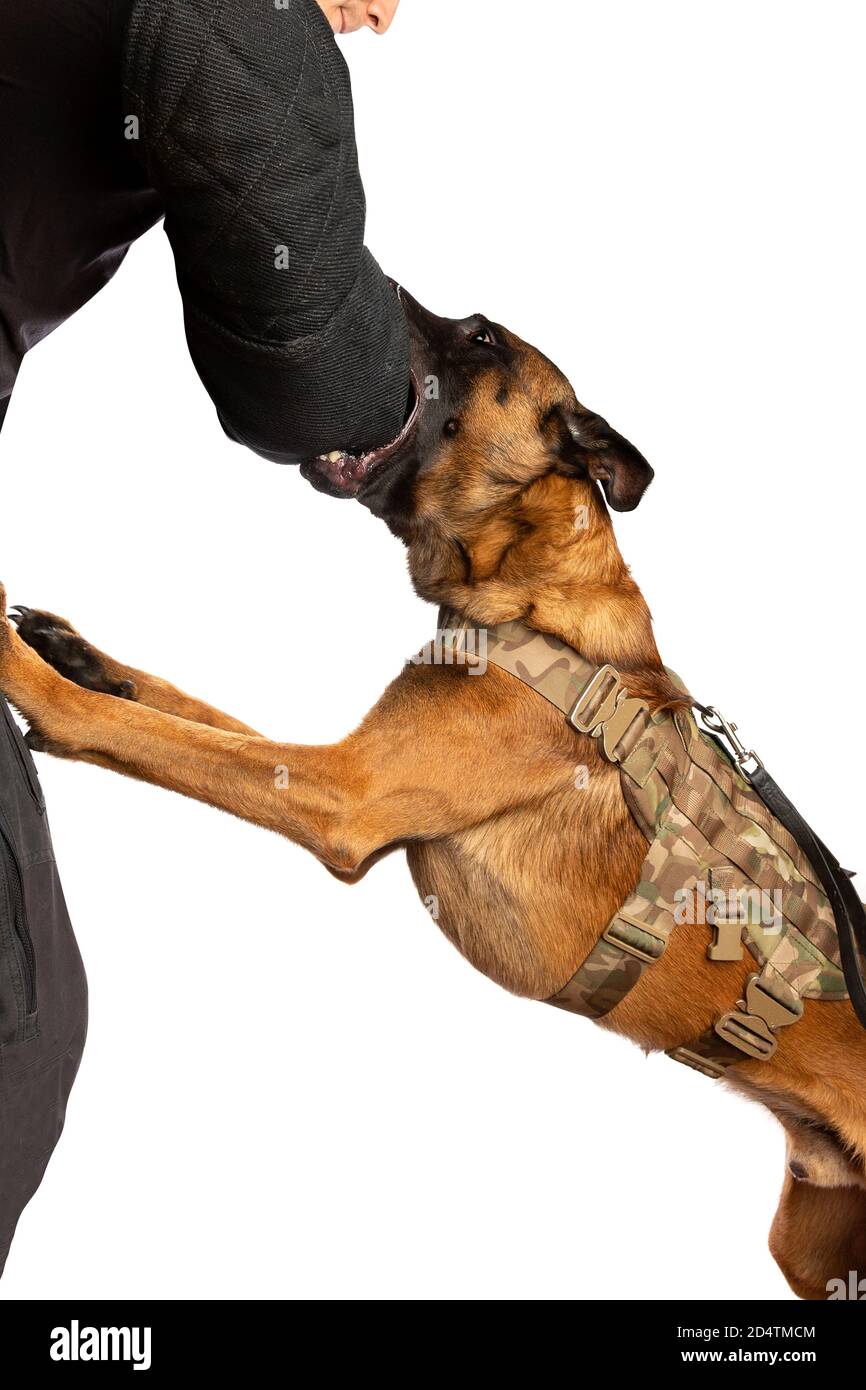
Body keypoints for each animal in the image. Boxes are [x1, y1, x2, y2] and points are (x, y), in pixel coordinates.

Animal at [1, 287, 866, 1295]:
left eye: (482, 339)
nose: (376, 292)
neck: (532, 587)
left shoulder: (345, 791)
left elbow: (161, 736)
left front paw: (26, 671)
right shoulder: (353, 763)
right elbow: (182, 709)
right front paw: (74, 654)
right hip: (810, 1240)